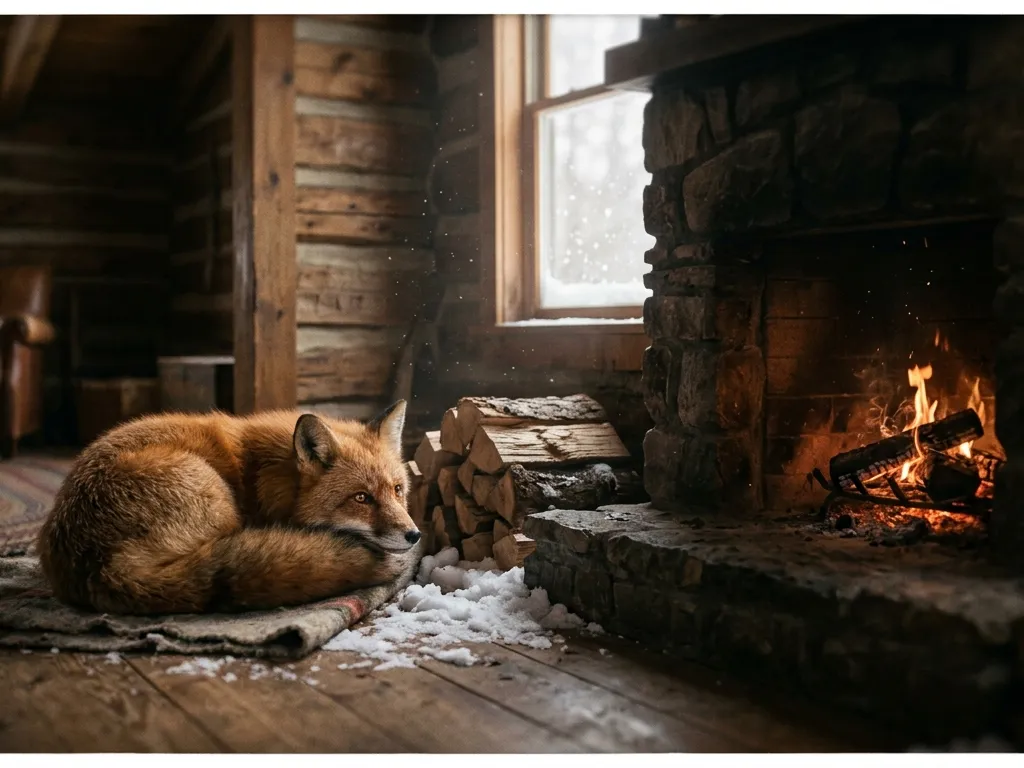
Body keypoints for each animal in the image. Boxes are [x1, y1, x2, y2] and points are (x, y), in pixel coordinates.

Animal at [36, 400, 421, 615]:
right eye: (361, 498)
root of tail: (102, 568)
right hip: (215, 495)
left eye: (398, 490)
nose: (414, 535)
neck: (261, 475)